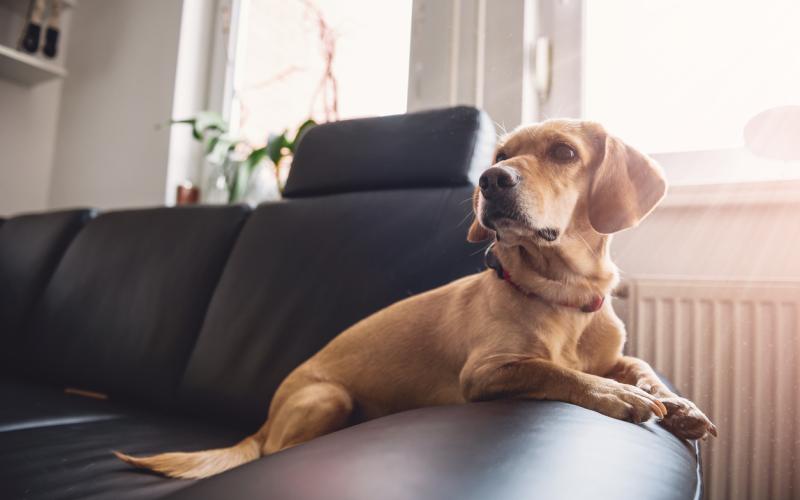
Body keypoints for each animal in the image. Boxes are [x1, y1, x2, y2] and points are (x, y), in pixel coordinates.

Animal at [115, 118, 716, 480]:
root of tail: (263, 418)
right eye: (502, 153)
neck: (563, 298)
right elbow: (555, 372)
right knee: (275, 452)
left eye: (564, 152)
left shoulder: (615, 354)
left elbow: (640, 368)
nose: (490, 179)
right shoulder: (487, 371)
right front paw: (618, 396)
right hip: (327, 397)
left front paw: (679, 404)